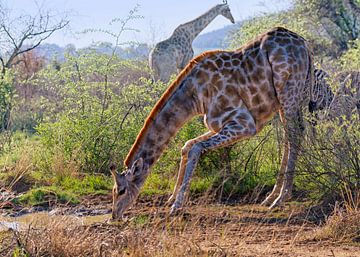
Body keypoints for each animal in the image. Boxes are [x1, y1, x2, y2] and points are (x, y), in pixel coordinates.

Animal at [111, 26, 314, 218]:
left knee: (295, 134)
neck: (195, 95)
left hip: (288, 90)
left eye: (121, 190)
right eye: (113, 191)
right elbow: (187, 145)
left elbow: (195, 148)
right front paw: (172, 198)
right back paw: (271, 196)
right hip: (285, 99)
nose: (114, 215)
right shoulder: (217, 125)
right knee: (292, 135)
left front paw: (177, 205)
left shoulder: (245, 124)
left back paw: (281, 198)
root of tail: (305, 44)